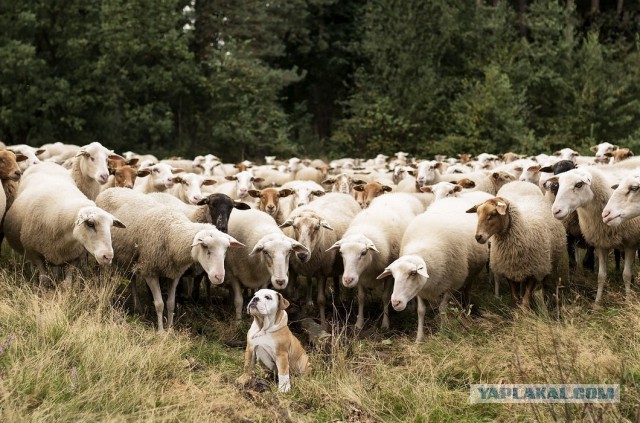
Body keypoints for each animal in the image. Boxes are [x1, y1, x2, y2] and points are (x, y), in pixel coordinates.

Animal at [96, 187, 244, 332]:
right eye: (205, 246)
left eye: (226, 249)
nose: (219, 277)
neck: (171, 232)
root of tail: (111, 188)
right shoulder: (149, 271)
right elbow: (159, 304)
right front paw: (161, 331)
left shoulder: (174, 274)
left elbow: (171, 303)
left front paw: (170, 328)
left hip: (131, 257)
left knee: (131, 278)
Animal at [278, 194, 360, 326]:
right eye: (294, 227)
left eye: (317, 227)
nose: (302, 255)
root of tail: (342, 194)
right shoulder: (293, 268)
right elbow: (288, 292)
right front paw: (288, 320)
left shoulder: (322, 271)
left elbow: (321, 300)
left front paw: (323, 324)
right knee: (335, 279)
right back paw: (336, 300)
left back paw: (348, 303)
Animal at [324, 195, 424, 332]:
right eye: (341, 252)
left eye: (363, 252)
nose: (348, 280)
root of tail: (399, 193)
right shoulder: (360, 276)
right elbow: (361, 297)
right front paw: (359, 323)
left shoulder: (389, 274)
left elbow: (386, 297)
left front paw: (385, 324)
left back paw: (411, 307)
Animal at [376, 198, 490, 342]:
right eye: (394, 276)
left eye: (413, 273)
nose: (396, 302)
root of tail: (454, 198)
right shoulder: (421, 288)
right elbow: (421, 310)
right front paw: (419, 338)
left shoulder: (451, 285)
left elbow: (442, 309)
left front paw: (442, 332)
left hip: (471, 274)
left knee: (467, 289)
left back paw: (466, 306)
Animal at [552, 167, 640, 304]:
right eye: (558, 185)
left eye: (579, 184)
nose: (556, 211)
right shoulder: (601, 244)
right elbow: (601, 276)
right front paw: (597, 303)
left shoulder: (630, 243)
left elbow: (626, 275)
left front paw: (628, 300)